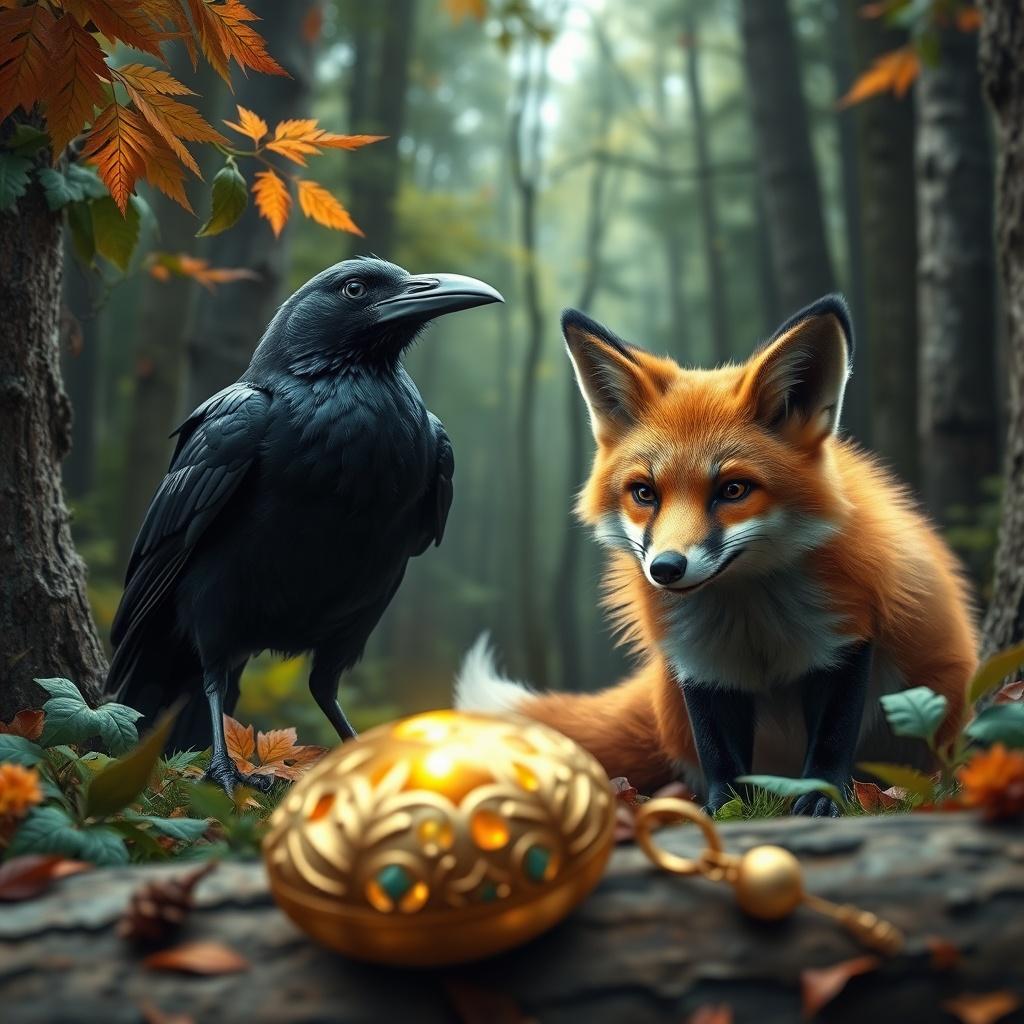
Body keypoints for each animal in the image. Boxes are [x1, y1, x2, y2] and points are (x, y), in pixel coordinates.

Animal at [456, 295, 977, 817]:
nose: (665, 568)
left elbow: (831, 740)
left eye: (733, 490)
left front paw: (820, 800)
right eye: (644, 493)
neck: (751, 617)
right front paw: (722, 811)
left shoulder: (845, 636)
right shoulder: (700, 663)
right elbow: (720, 757)